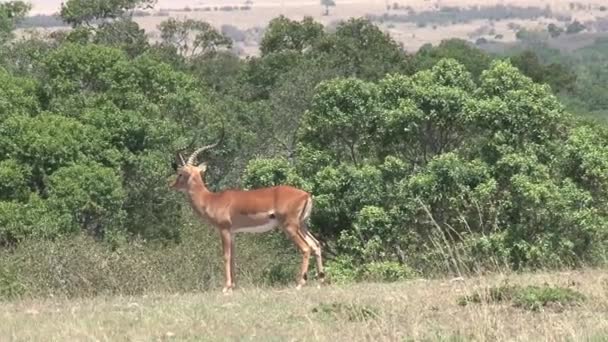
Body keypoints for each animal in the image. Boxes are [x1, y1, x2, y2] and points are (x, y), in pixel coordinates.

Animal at [169, 131, 326, 294]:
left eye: (180, 173)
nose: (171, 185)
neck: (211, 199)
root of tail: (306, 195)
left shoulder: (224, 230)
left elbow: (226, 256)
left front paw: (225, 288)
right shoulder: (233, 233)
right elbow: (233, 257)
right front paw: (233, 287)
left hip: (290, 227)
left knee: (306, 248)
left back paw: (300, 284)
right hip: (302, 226)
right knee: (316, 245)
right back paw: (320, 282)